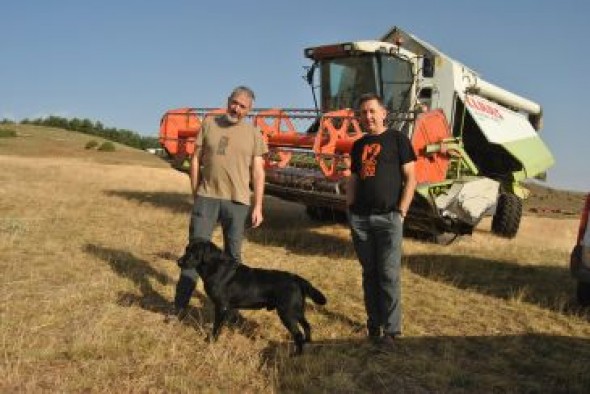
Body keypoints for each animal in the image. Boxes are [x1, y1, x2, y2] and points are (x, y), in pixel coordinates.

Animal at [179, 240, 328, 354]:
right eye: (186, 249)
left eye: (193, 252)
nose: (179, 262)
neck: (215, 267)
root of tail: (296, 278)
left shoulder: (221, 306)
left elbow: (216, 326)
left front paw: (211, 341)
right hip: (297, 311)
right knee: (307, 326)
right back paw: (307, 344)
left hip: (287, 313)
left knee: (298, 334)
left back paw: (295, 355)